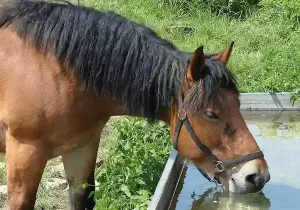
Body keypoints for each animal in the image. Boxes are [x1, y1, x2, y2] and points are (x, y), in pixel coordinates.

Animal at [0, 0, 270, 210]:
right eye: (211, 114)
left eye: (238, 104)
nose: (257, 176)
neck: (53, 69)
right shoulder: (25, 152)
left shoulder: (81, 147)